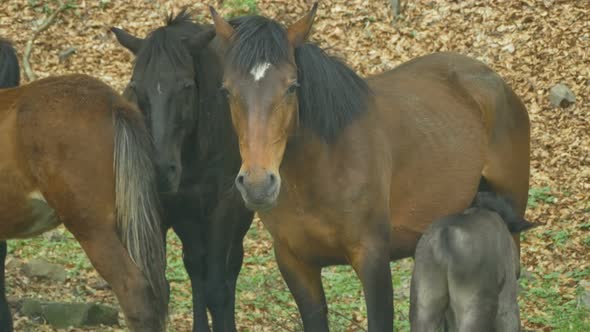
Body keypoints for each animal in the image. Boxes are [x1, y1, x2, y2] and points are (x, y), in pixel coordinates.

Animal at [111, 9, 254, 330]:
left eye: (187, 86)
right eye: (136, 88)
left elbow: (218, 289)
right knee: (196, 268)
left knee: (229, 269)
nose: (162, 170)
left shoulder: (223, 207)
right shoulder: (168, 209)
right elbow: (163, 286)